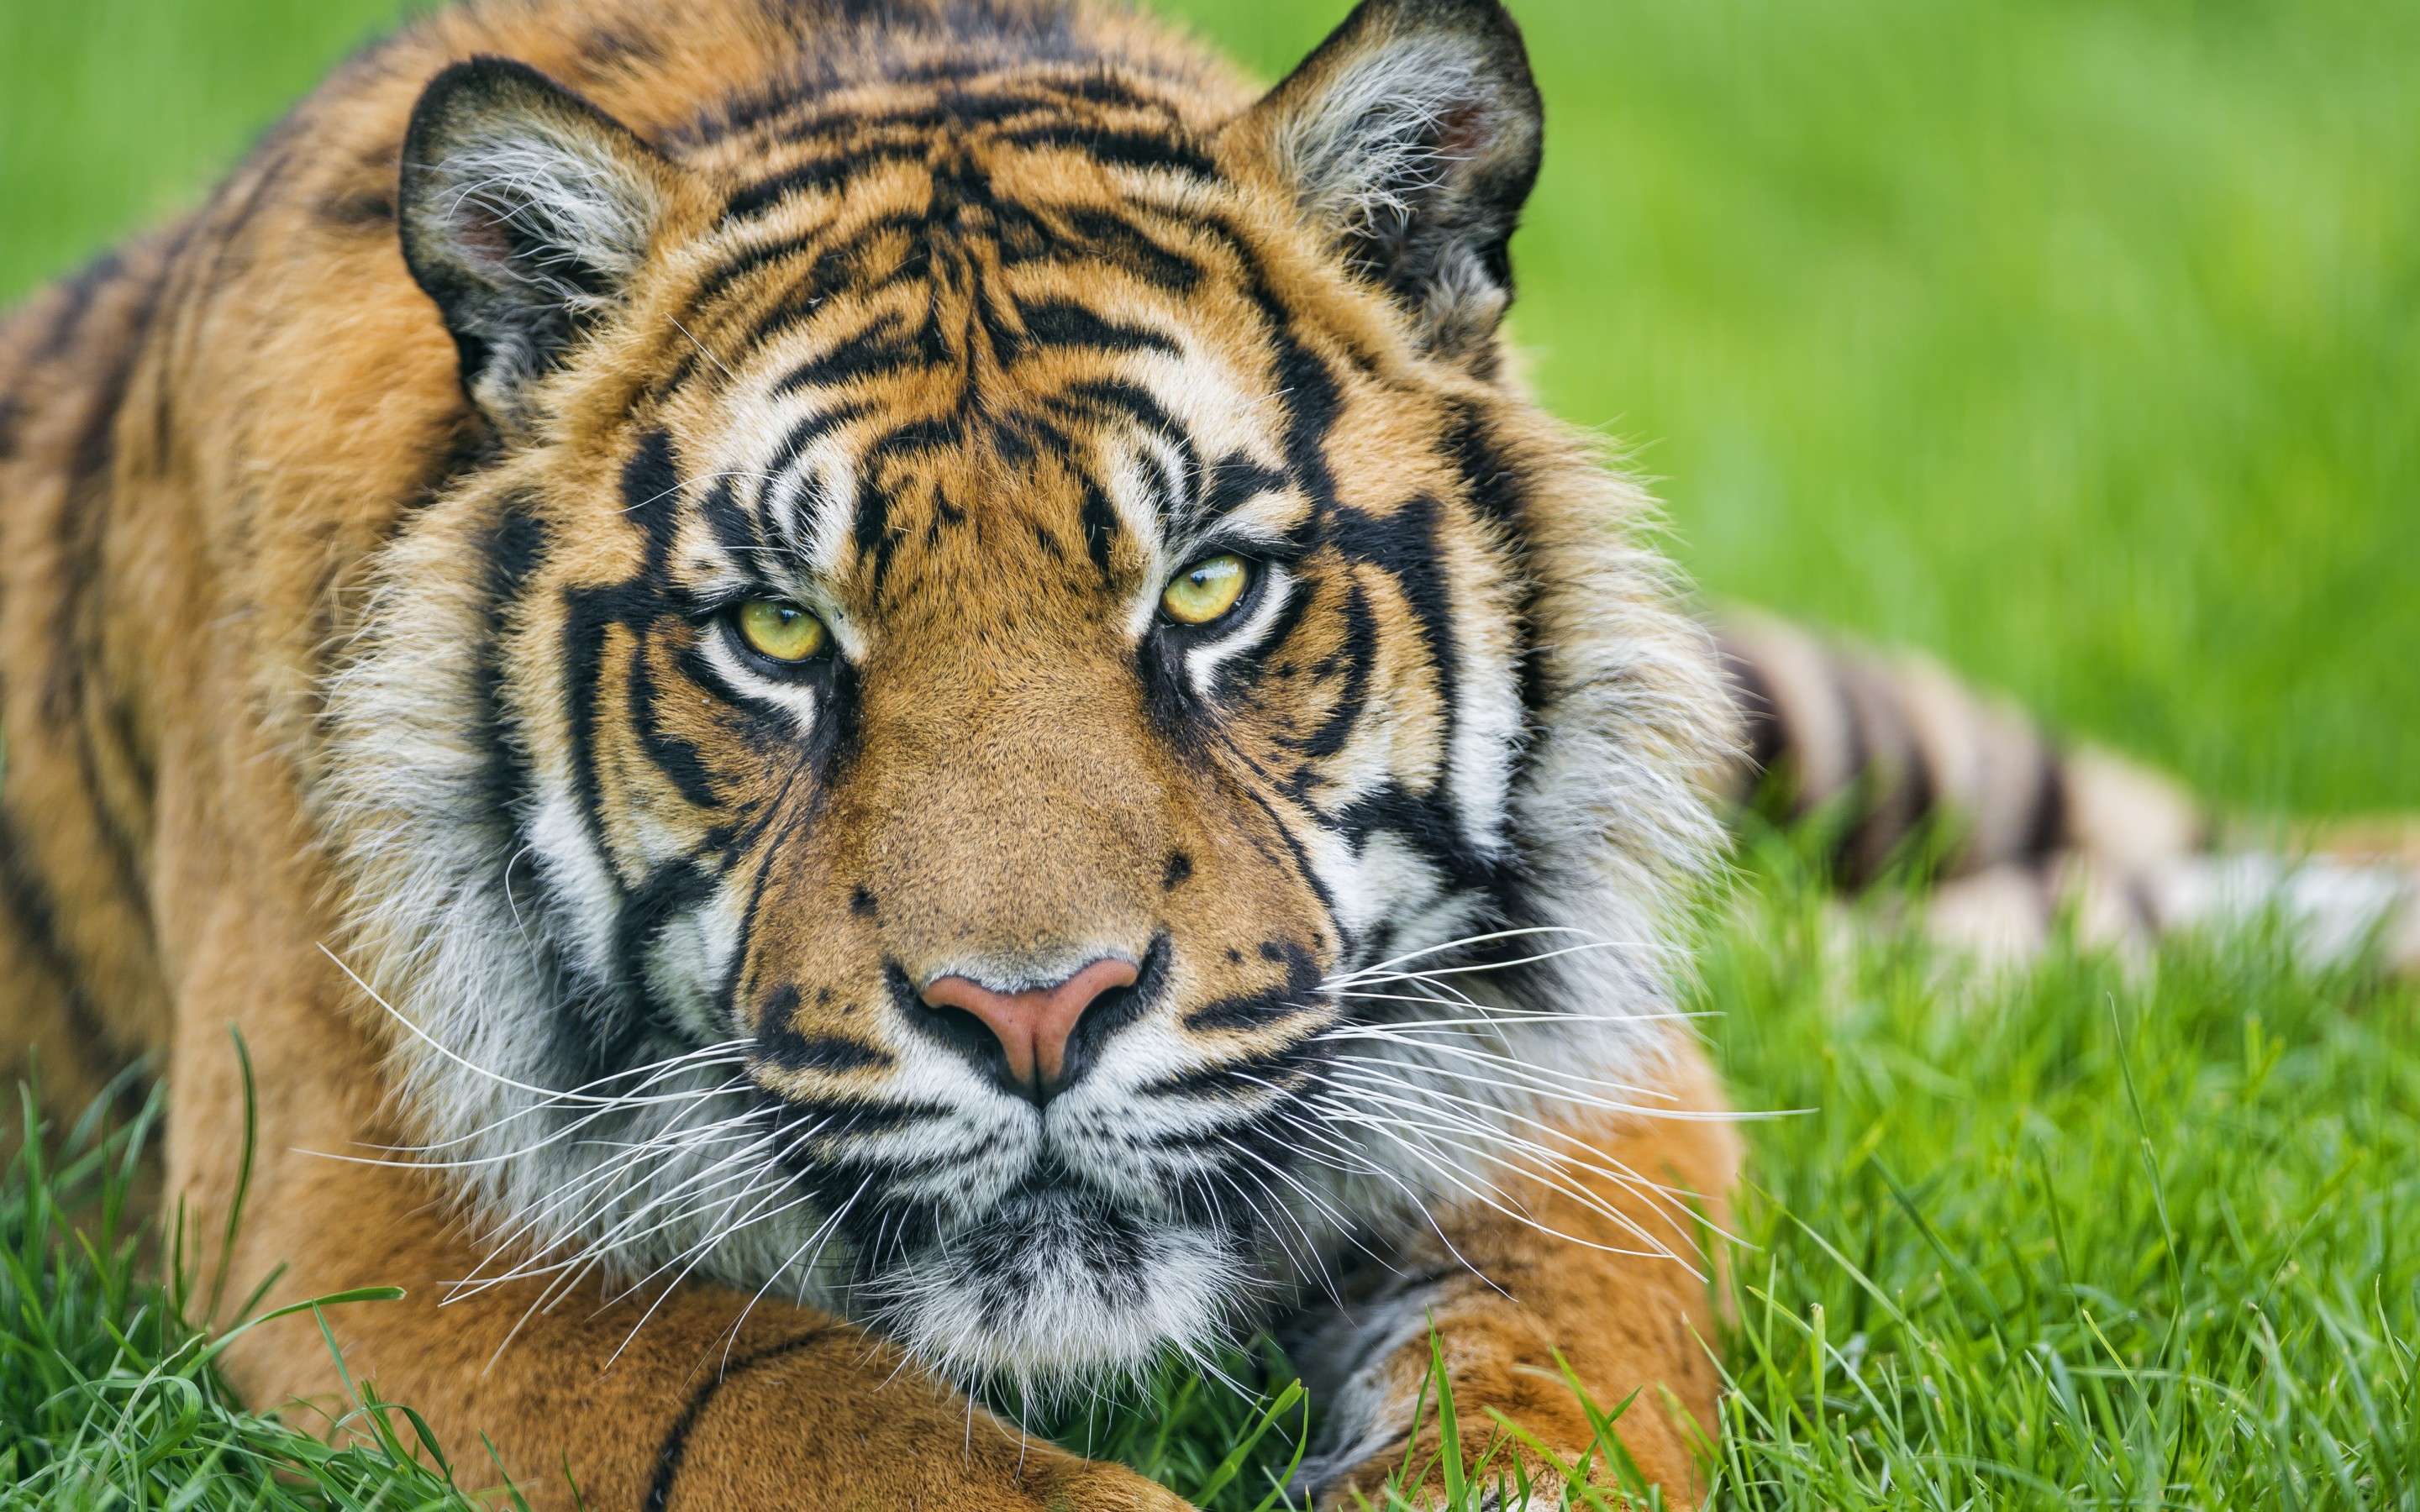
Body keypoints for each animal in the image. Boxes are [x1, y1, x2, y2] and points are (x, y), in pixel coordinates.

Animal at [0, 3, 2391, 1509]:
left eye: (1213, 590)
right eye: (777, 634)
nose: (1032, 1015)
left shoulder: (1589, 1080)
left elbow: (1562, 1378)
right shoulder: (366, 1227)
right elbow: (842, 1435)